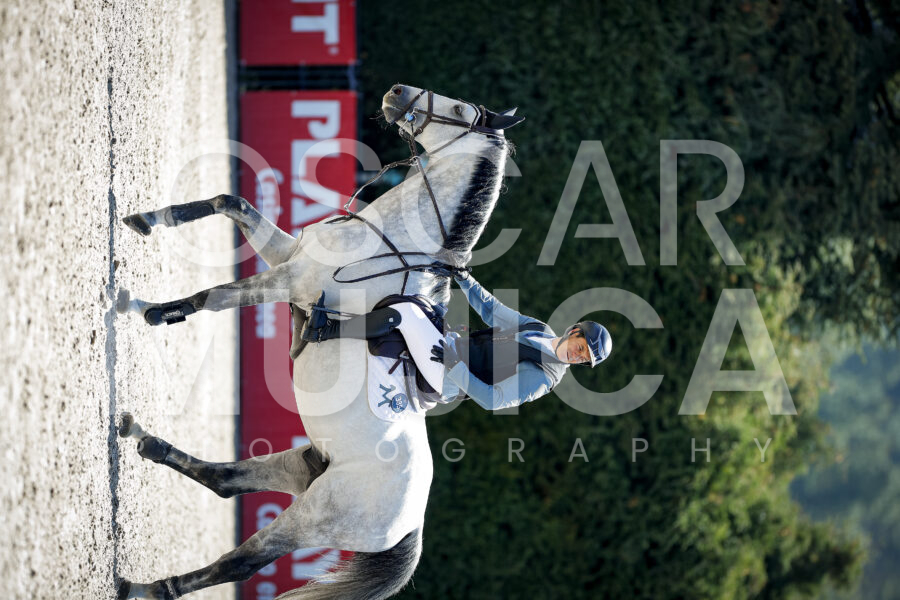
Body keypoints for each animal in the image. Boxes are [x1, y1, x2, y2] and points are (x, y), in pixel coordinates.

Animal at [115, 84, 523, 599]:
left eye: (455, 110)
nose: (397, 93)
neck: (383, 241)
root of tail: (411, 525)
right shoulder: (287, 255)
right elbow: (231, 201)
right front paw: (145, 220)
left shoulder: (288, 279)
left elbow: (215, 296)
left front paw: (147, 309)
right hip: (302, 467)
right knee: (225, 482)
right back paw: (144, 441)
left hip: (315, 516)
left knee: (242, 561)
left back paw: (145, 587)